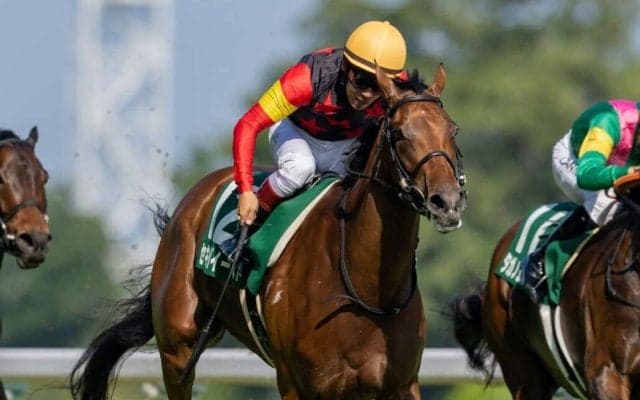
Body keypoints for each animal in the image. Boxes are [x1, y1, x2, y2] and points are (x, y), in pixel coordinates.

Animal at [70, 64, 467, 400]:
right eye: (399, 133)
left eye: (453, 130)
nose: (446, 201)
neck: (364, 285)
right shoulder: (299, 383)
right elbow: (252, 121)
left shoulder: (399, 384)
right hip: (178, 348)